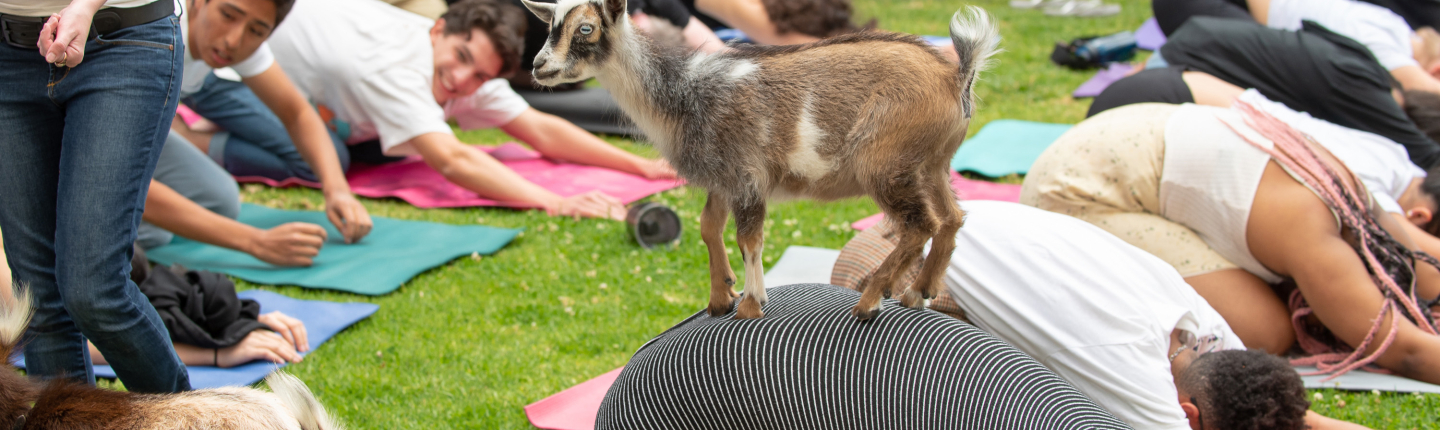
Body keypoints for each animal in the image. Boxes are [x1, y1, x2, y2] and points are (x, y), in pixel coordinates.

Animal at [522, 0, 999, 320]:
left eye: (585, 27)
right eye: (550, 25)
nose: (539, 66)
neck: (683, 96)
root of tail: (957, 75)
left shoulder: (748, 176)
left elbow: (749, 238)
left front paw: (751, 304)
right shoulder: (721, 180)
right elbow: (709, 228)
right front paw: (720, 297)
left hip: (884, 162)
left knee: (920, 224)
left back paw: (870, 300)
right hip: (931, 163)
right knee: (952, 217)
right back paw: (918, 291)